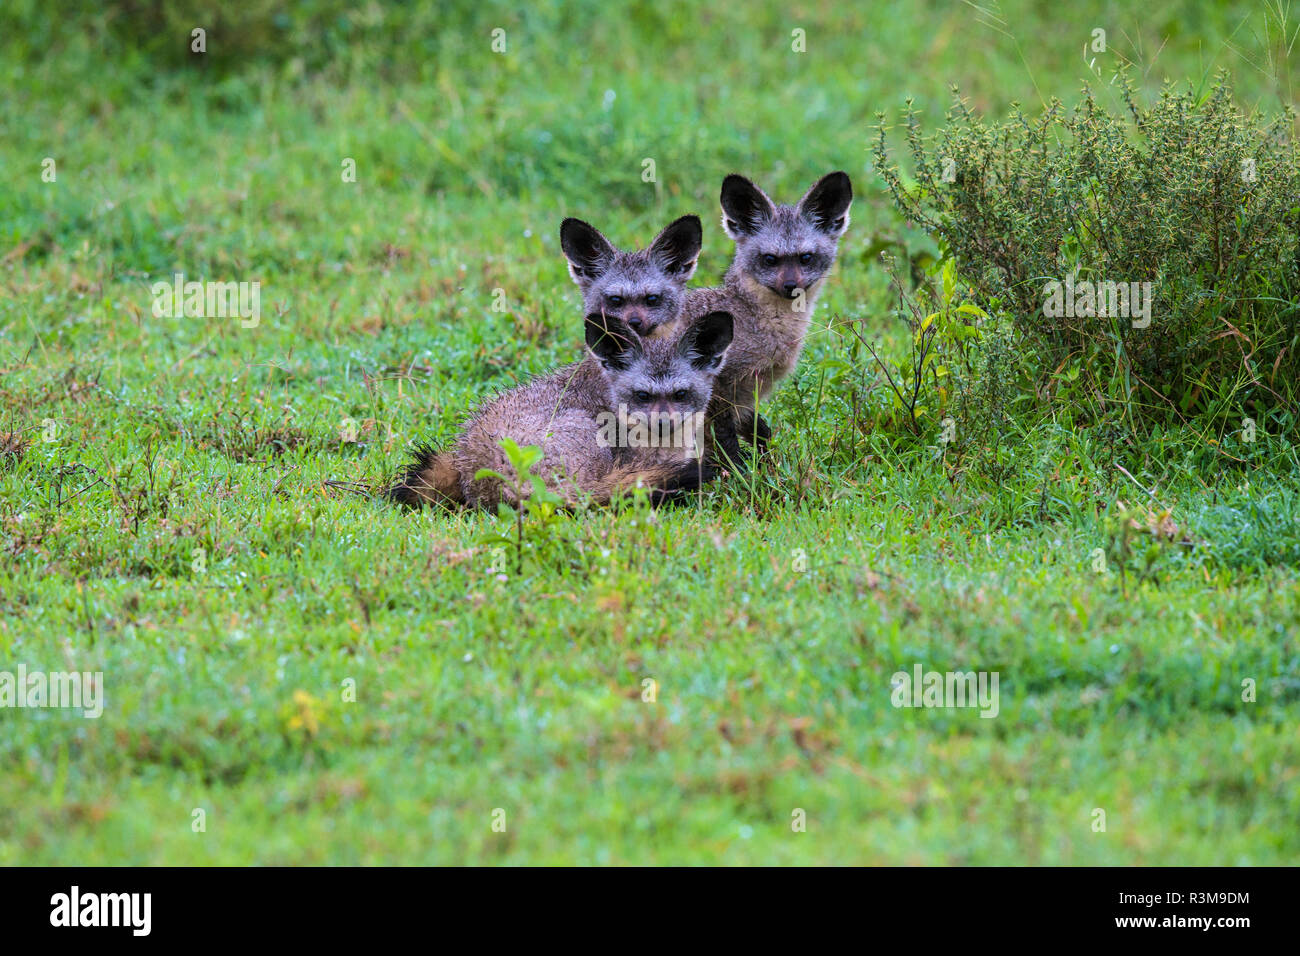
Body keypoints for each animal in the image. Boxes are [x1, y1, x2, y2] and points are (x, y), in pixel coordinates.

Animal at [670, 172, 852, 470]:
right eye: (770, 259)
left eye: (805, 258)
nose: (791, 286)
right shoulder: (718, 390)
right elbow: (724, 441)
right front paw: (739, 472)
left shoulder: (744, 396)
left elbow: (761, 432)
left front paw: (770, 463)